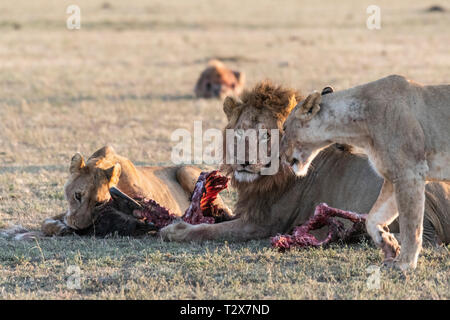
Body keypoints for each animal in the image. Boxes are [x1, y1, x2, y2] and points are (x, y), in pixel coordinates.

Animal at [160, 80, 448, 248]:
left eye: (266, 135)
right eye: (239, 134)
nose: (244, 162)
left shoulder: (263, 224)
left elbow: (211, 231)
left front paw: (176, 230)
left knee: (424, 237)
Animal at [282, 75, 450, 270]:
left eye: (284, 128)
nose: (281, 156)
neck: (359, 129)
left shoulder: (410, 173)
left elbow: (411, 225)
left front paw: (404, 264)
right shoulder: (393, 177)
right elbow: (372, 218)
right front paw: (389, 244)